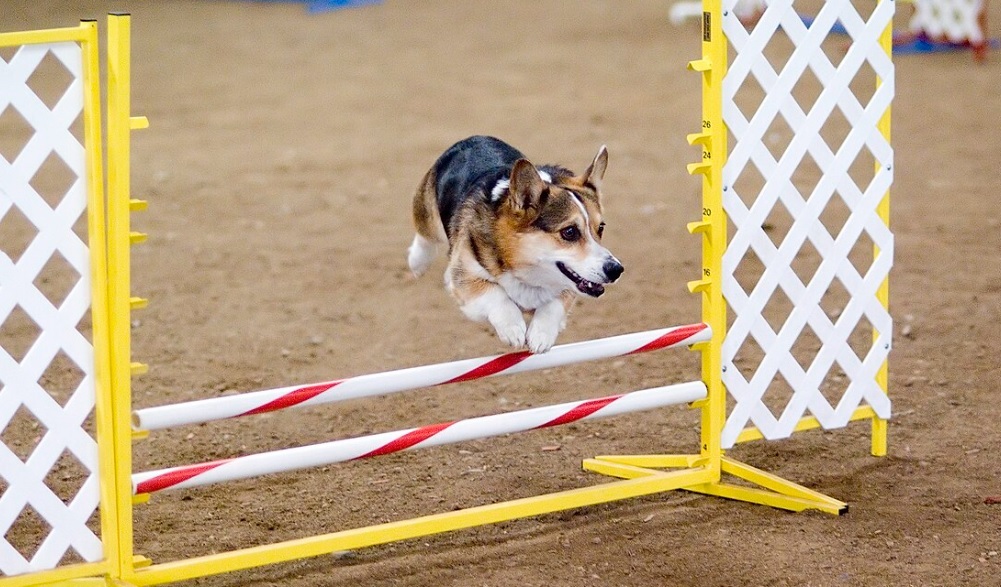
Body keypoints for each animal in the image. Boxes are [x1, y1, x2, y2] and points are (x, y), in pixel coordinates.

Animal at [408, 136, 624, 352]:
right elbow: (495, 294)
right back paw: (417, 262)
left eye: (601, 228)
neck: (522, 263)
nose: (616, 270)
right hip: (428, 213)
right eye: (569, 232)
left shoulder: (570, 286)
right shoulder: (463, 278)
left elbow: (554, 304)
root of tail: (474, 138)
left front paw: (541, 335)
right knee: (425, 235)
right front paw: (512, 328)